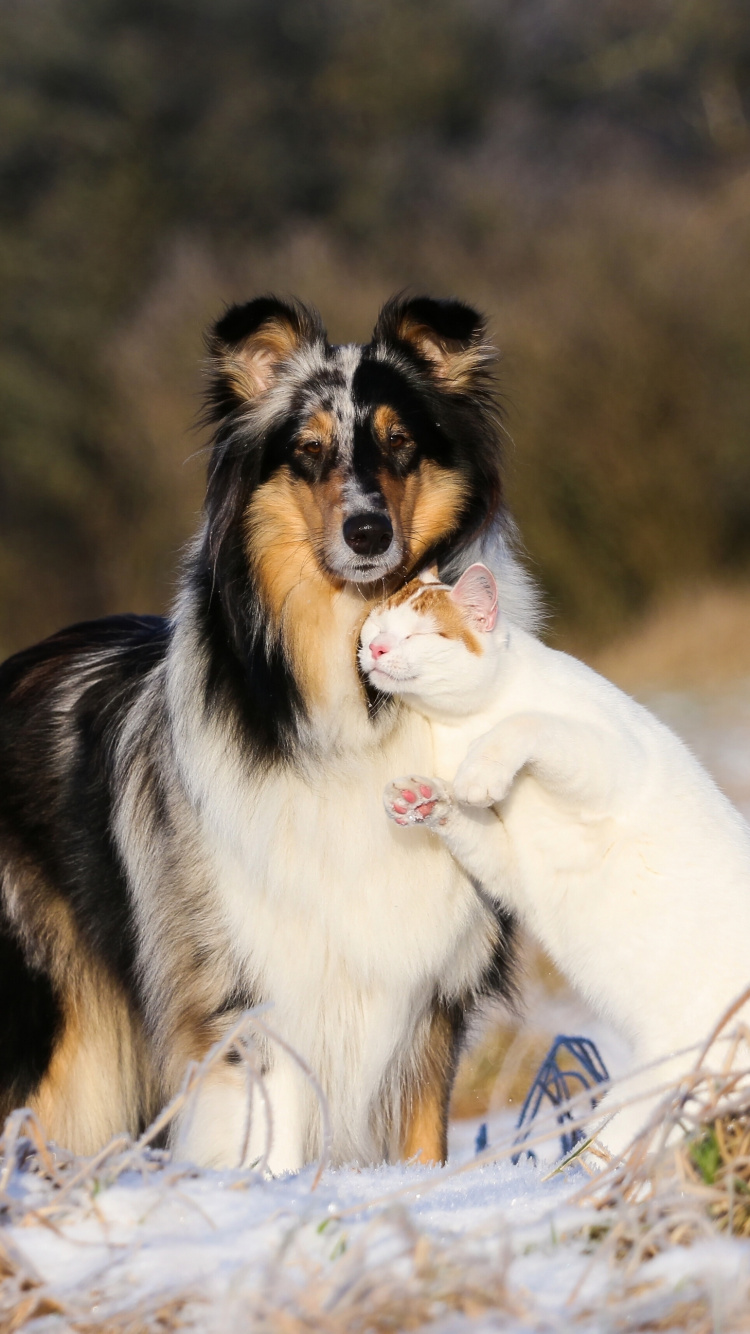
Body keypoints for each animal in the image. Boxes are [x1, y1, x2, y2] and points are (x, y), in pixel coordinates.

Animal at [0, 292, 536, 1168]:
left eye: (400, 442)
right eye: (309, 452)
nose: (366, 533)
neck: (355, 694)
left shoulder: (427, 1000)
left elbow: (424, 1142)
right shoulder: (255, 996)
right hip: (62, 1042)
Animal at [354, 562, 747, 1157]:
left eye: (417, 633)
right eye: (374, 624)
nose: (374, 647)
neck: (463, 727)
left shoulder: (606, 760)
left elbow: (529, 726)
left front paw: (480, 772)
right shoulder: (512, 866)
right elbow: (468, 824)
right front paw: (422, 799)